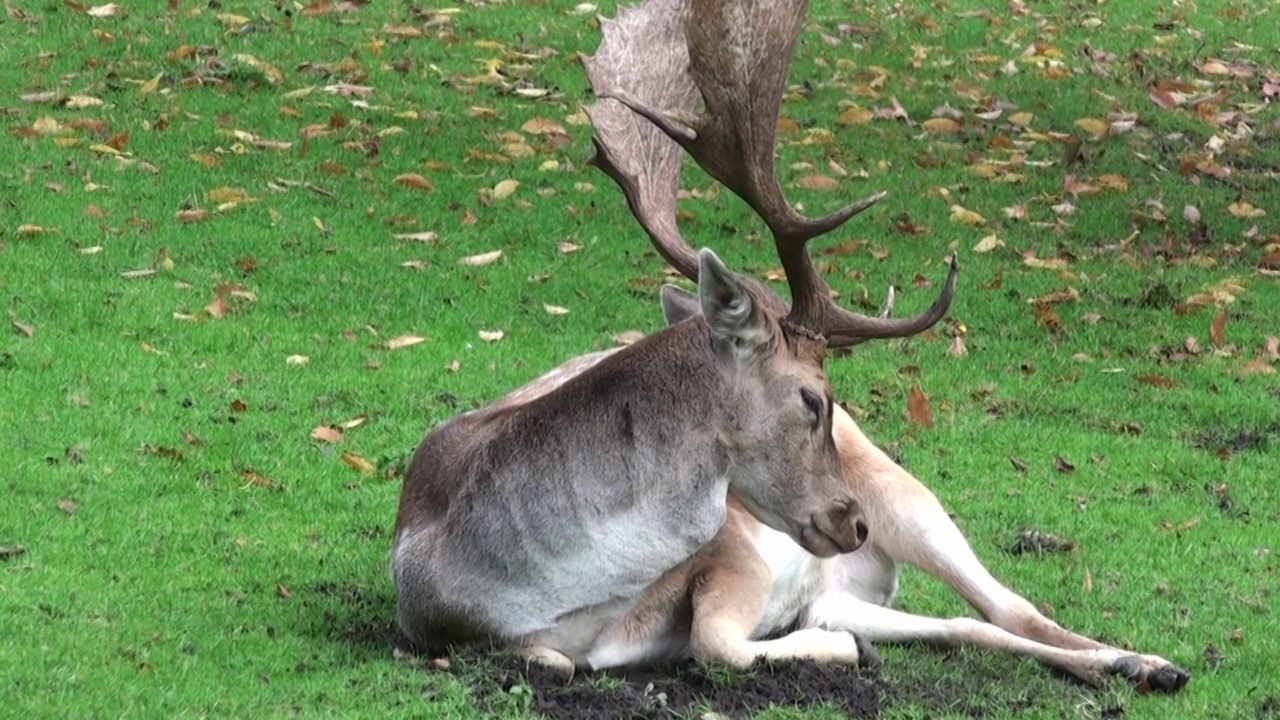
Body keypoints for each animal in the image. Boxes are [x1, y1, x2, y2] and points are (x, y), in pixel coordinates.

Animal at [389, 0, 1187, 691]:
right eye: (813, 398)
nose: (852, 521)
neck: (533, 585)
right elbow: (575, 658)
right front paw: (851, 650)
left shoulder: (730, 553)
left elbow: (714, 639)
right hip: (844, 582)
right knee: (963, 623)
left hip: (903, 491)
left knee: (1007, 604)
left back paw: (1147, 663)